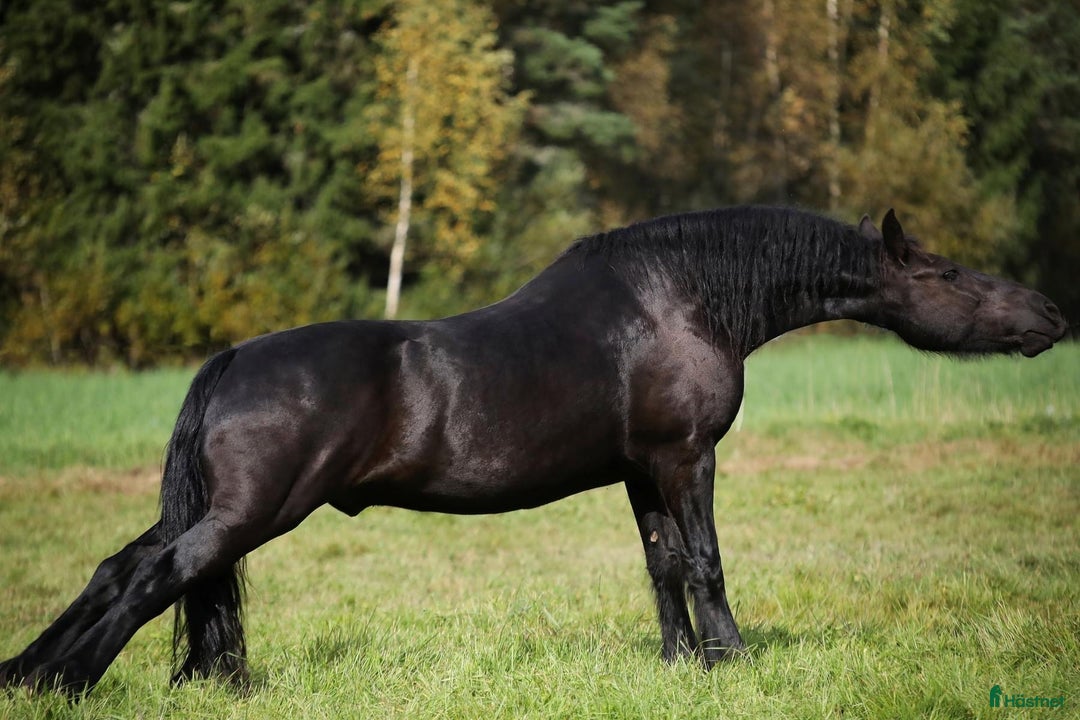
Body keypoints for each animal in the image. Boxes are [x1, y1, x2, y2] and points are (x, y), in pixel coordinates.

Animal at [0, 206, 1067, 695]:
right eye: (948, 274)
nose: (1051, 315)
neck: (678, 300)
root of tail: (232, 358)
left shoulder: (642, 472)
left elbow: (661, 567)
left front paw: (680, 667)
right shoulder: (686, 460)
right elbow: (707, 563)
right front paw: (733, 660)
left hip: (223, 511)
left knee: (122, 567)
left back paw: (33, 675)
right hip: (248, 513)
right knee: (150, 577)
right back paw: (68, 682)